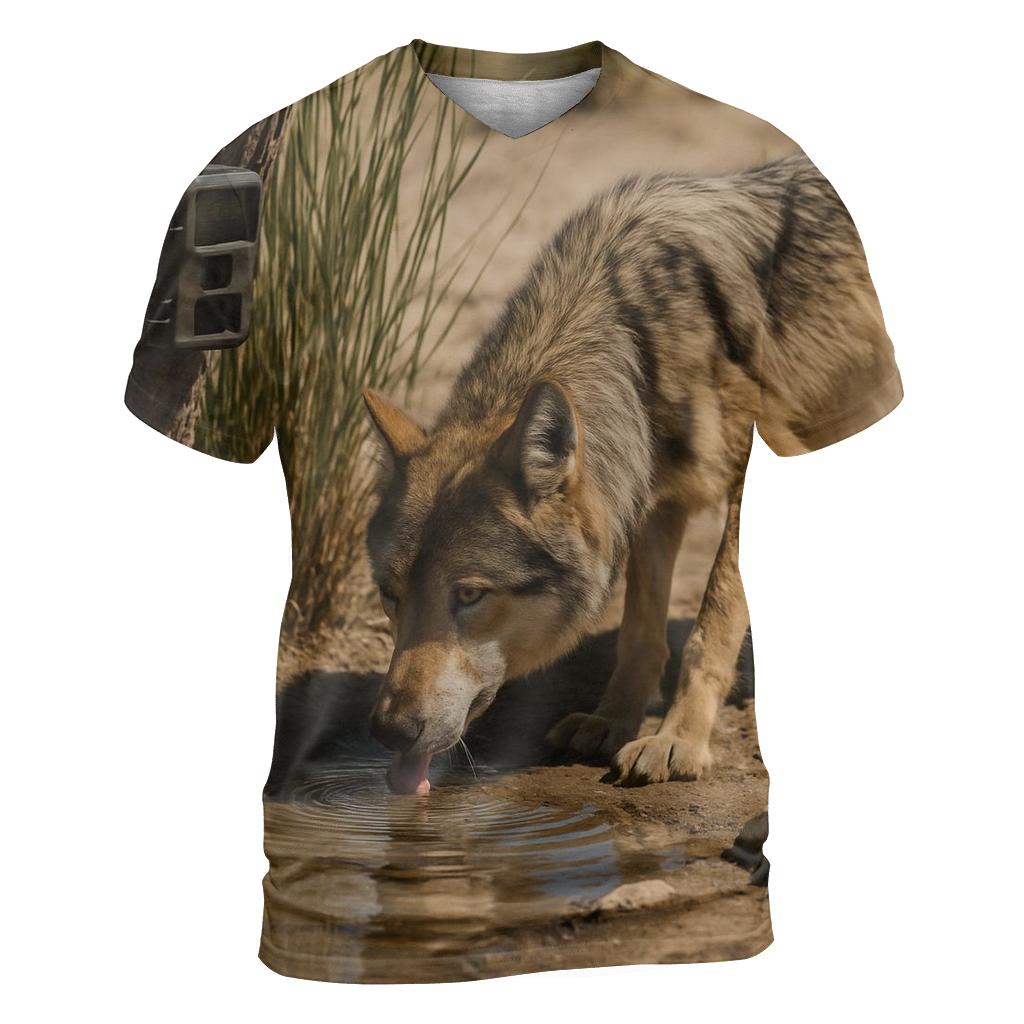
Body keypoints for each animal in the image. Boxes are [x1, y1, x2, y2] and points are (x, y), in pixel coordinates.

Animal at [362, 153, 895, 794]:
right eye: (390, 594)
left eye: (469, 594)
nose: (387, 731)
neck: (637, 339)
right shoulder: (655, 499)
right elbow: (640, 629)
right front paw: (612, 720)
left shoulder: (744, 484)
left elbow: (711, 623)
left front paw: (676, 740)